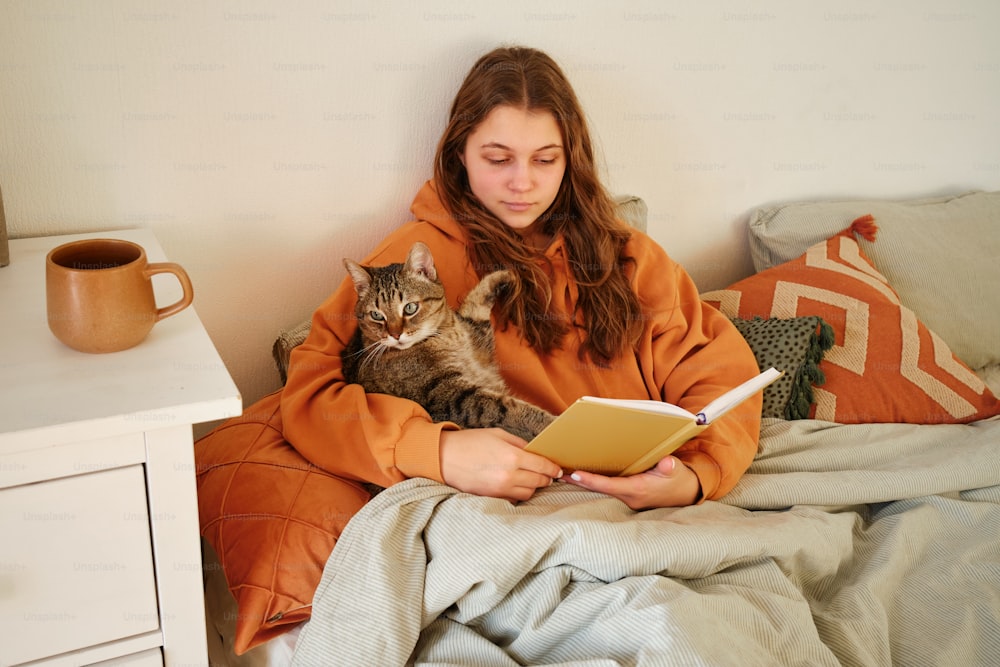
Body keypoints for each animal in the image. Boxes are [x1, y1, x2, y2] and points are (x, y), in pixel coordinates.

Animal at [340, 243, 552, 440]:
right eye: (376, 315)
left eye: (410, 308)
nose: (395, 334)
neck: (447, 334)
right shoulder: (455, 397)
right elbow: (511, 409)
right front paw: (551, 422)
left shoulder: (479, 341)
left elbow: (474, 302)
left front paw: (504, 275)